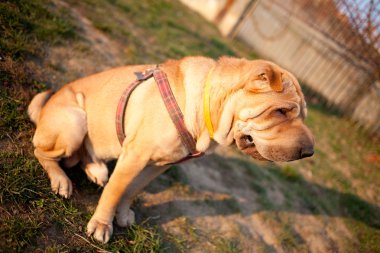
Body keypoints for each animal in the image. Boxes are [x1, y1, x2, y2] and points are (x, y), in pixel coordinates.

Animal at [28, 56, 314, 243]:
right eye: (280, 111)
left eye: (303, 116)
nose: (309, 151)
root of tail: (43, 110)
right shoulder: (136, 156)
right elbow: (115, 191)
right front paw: (102, 224)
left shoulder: (157, 166)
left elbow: (132, 190)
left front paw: (122, 214)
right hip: (75, 121)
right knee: (41, 152)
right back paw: (61, 180)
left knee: (84, 155)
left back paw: (96, 169)